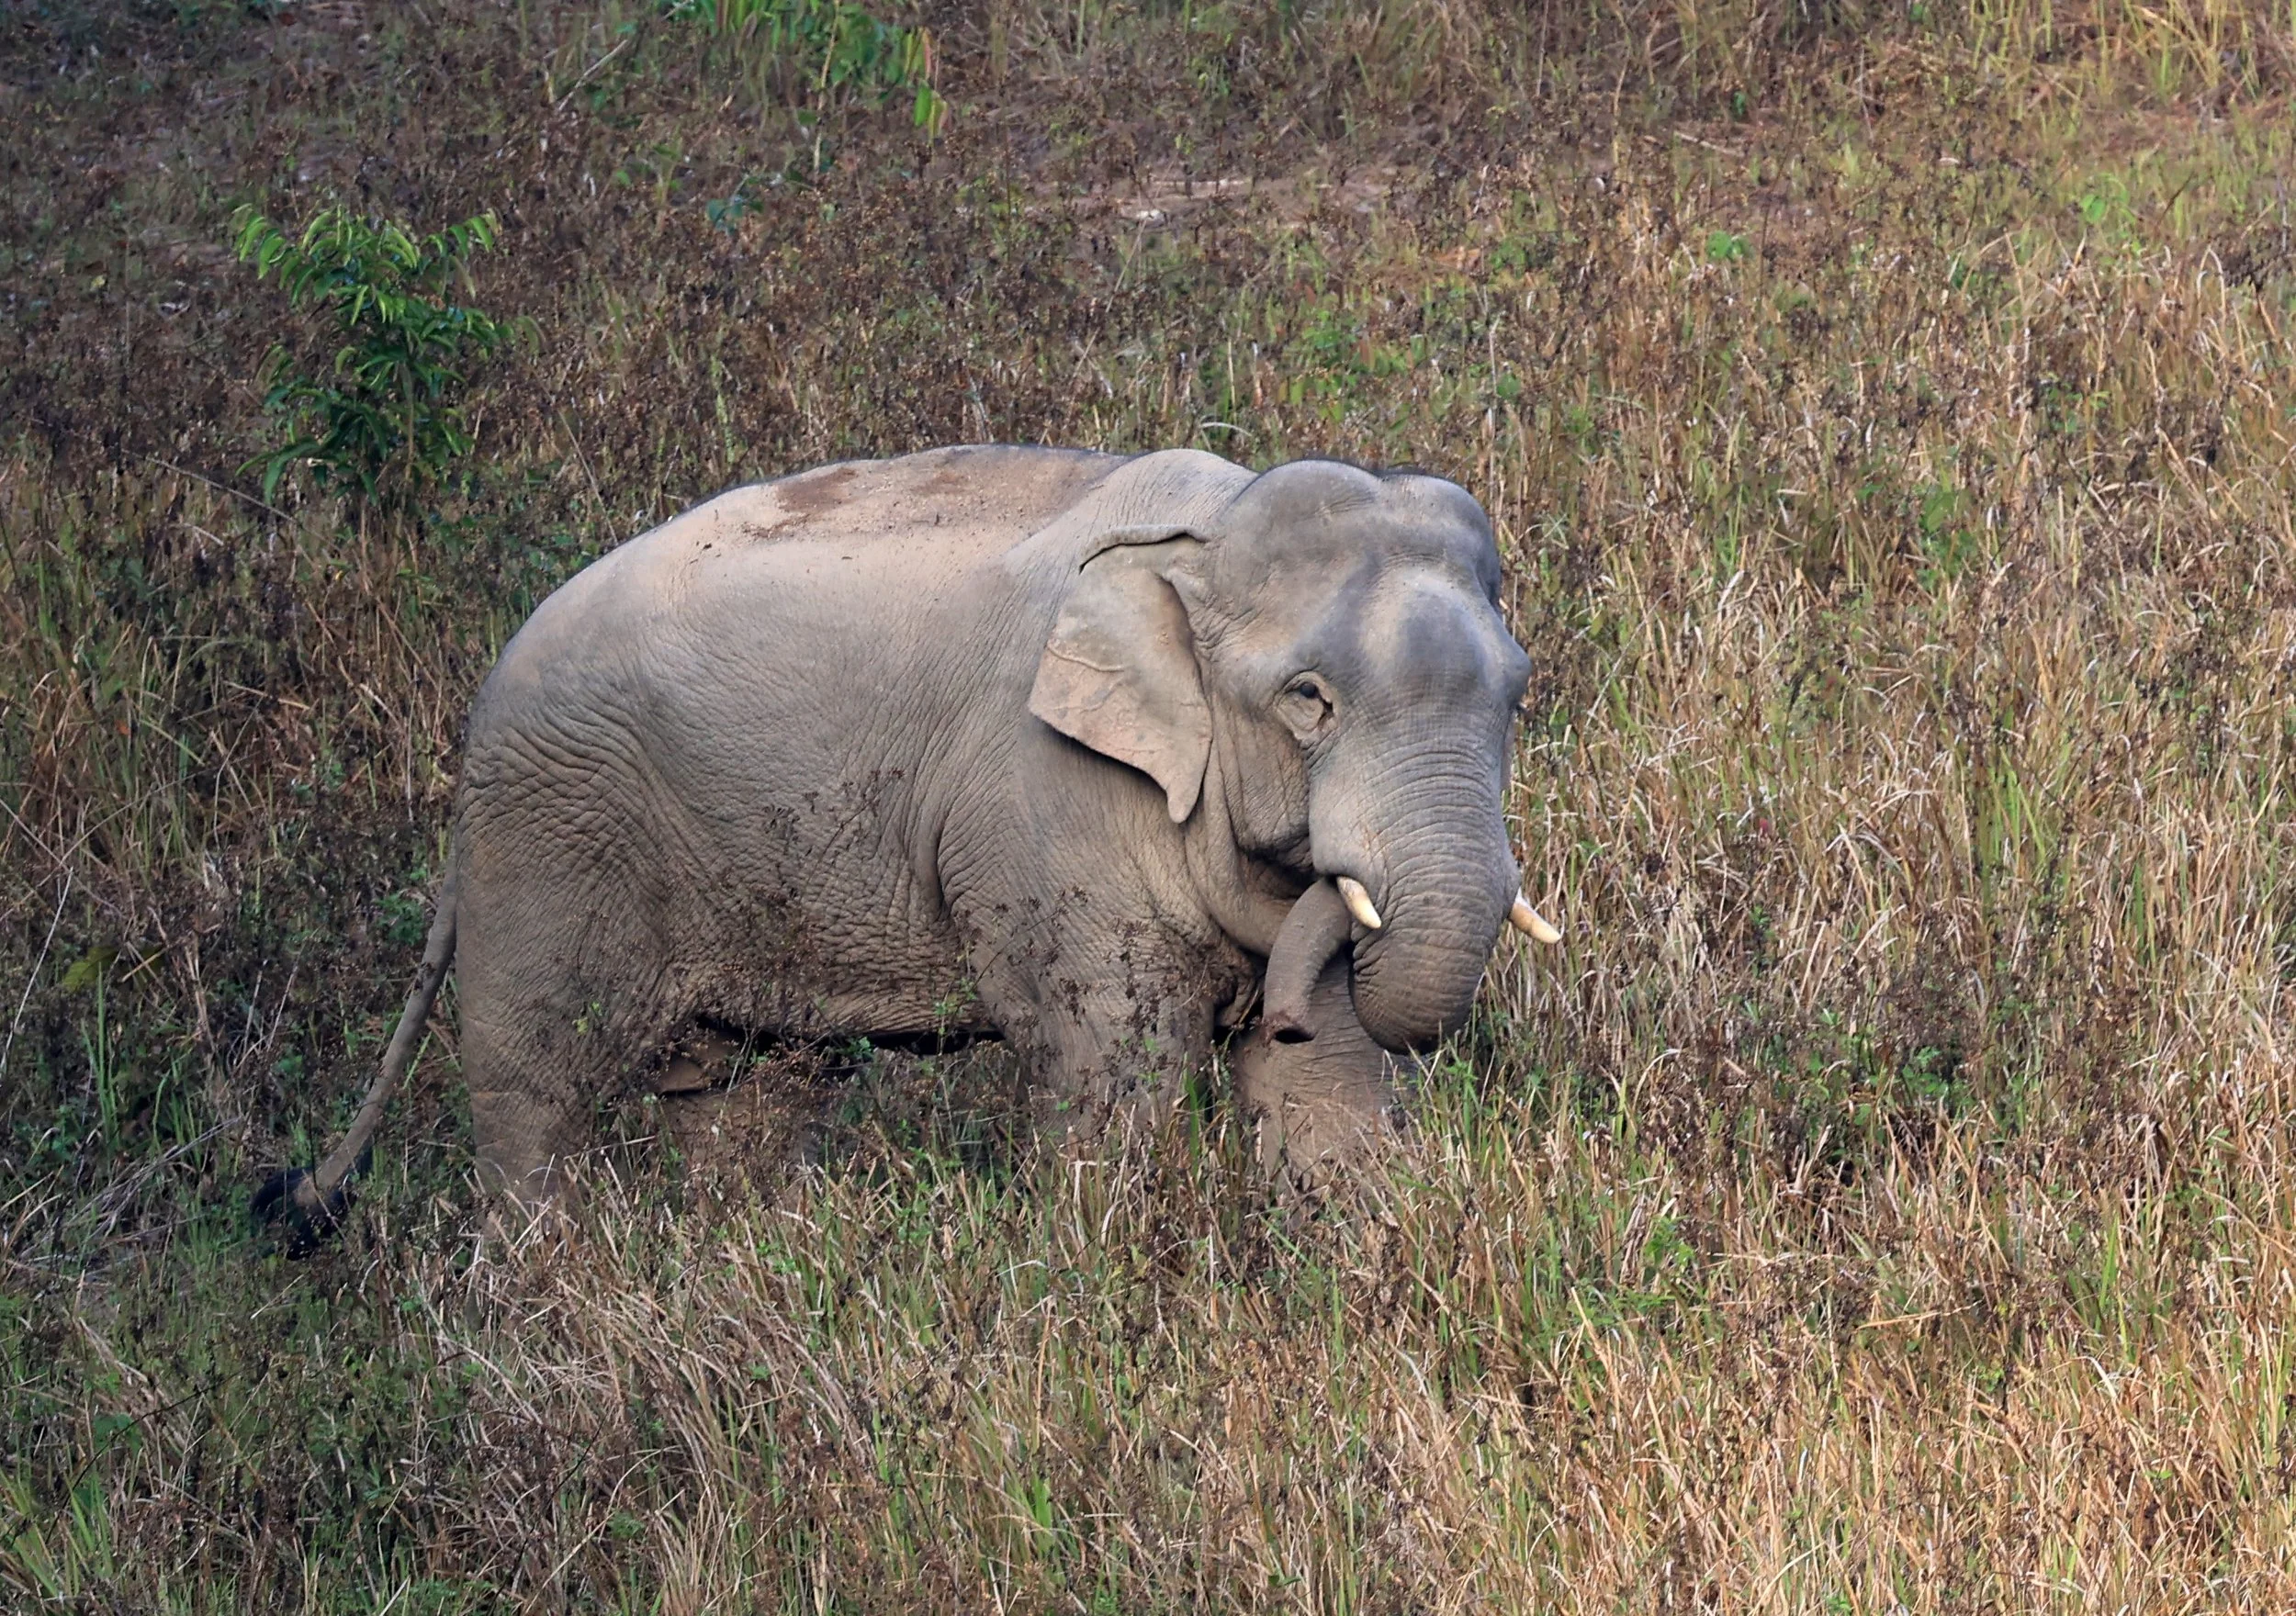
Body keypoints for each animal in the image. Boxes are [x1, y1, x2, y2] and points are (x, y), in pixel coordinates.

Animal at [262, 444, 1560, 1232]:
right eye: (1307, 700)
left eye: (1517, 689)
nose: (1276, 1001)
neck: (1198, 538)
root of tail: (479, 708)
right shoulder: (1046, 803)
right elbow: (1113, 1068)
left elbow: (1322, 1081)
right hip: (549, 839)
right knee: (533, 1082)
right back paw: (544, 1299)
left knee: (744, 1088)